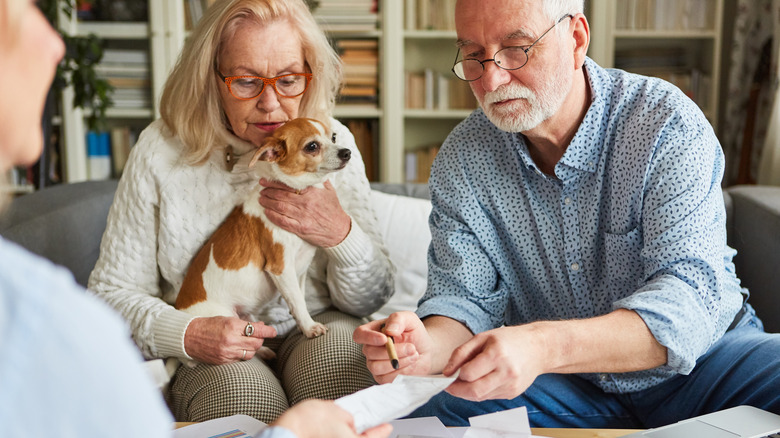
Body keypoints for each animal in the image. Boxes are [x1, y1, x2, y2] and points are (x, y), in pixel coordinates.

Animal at [175, 117, 352, 362]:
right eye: (312, 146)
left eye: (333, 137)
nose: (347, 152)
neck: (295, 189)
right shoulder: (281, 268)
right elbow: (298, 302)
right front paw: (310, 327)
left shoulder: (299, 270)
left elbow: (299, 299)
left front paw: (303, 324)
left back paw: (266, 350)